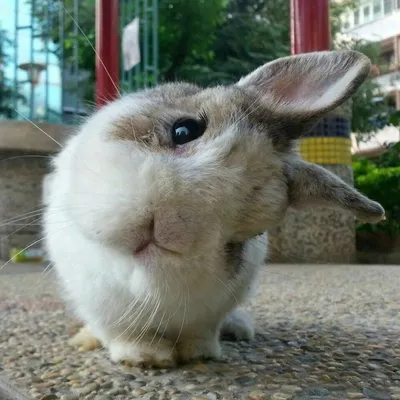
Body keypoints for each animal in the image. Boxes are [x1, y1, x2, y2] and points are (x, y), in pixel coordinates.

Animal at [43, 50, 384, 368]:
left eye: (251, 230)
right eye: (185, 129)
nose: (167, 227)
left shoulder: (212, 310)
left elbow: (200, 333)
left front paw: (199, 354)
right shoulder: (97, 303)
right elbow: (119, 332)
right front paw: (145, 357)